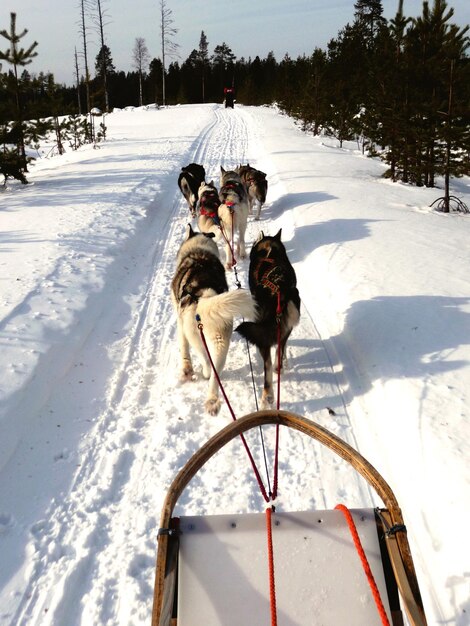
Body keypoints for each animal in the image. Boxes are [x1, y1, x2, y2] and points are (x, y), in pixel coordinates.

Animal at [171, 224, 255, 414]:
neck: (198, 251)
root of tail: (205, 296)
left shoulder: (180, 321)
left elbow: (184, 348)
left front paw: (186, 369)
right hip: (220, 341)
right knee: (215, 372)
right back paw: (212, 401)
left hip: (196, 338)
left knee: (206, 362)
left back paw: (204, 374)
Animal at [235, 229, 302, 404]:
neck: (269, 251)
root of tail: (280, 289)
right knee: (277, 355)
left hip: (263, 334)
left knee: (268, 366)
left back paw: (267, 396)